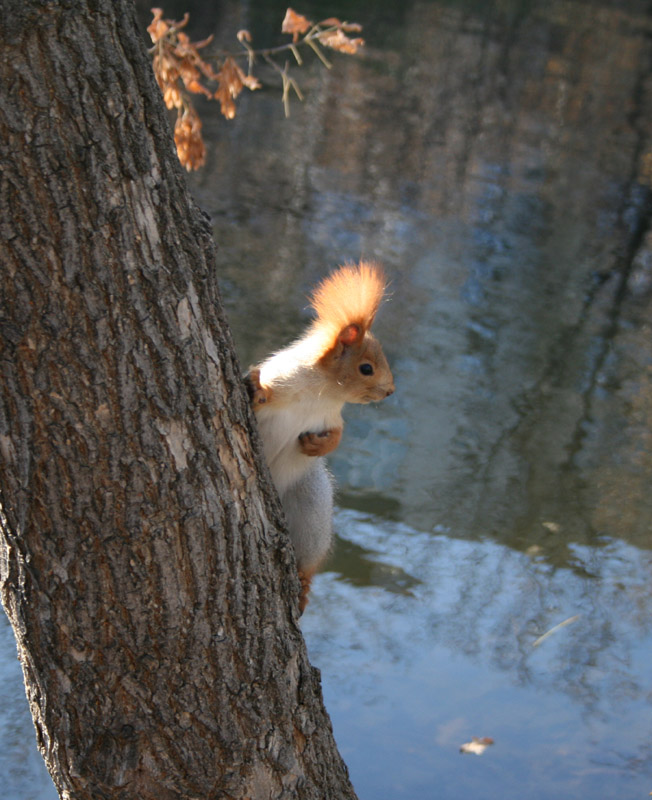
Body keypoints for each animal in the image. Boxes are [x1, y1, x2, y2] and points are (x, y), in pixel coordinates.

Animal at [244, 262, 392, 612]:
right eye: (366, 368)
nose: (391, 390)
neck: (321, 391)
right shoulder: (283, 381)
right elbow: (264, 393)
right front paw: (256, 388)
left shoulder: (330, 417)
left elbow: (338, 434)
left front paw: (318, 445)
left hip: (311, 504)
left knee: (307, 560)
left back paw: (302, 580)